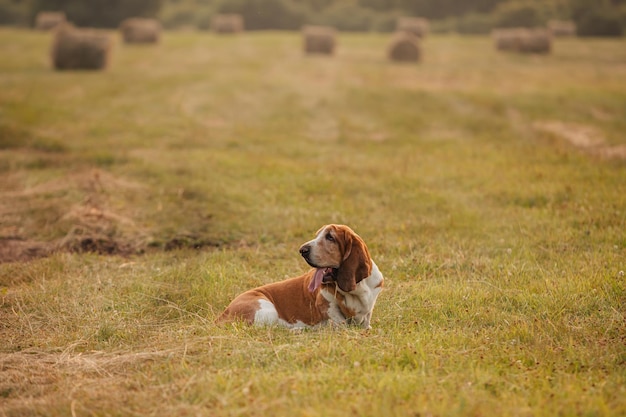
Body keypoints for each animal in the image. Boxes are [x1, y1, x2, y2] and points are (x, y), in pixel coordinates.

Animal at [219, 224, 386, 328]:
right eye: (317, 235)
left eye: (330, 237)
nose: (302, 250)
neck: (358, 288)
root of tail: (221, 316)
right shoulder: (326, 305)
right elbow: (338, 320)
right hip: (267, 309)